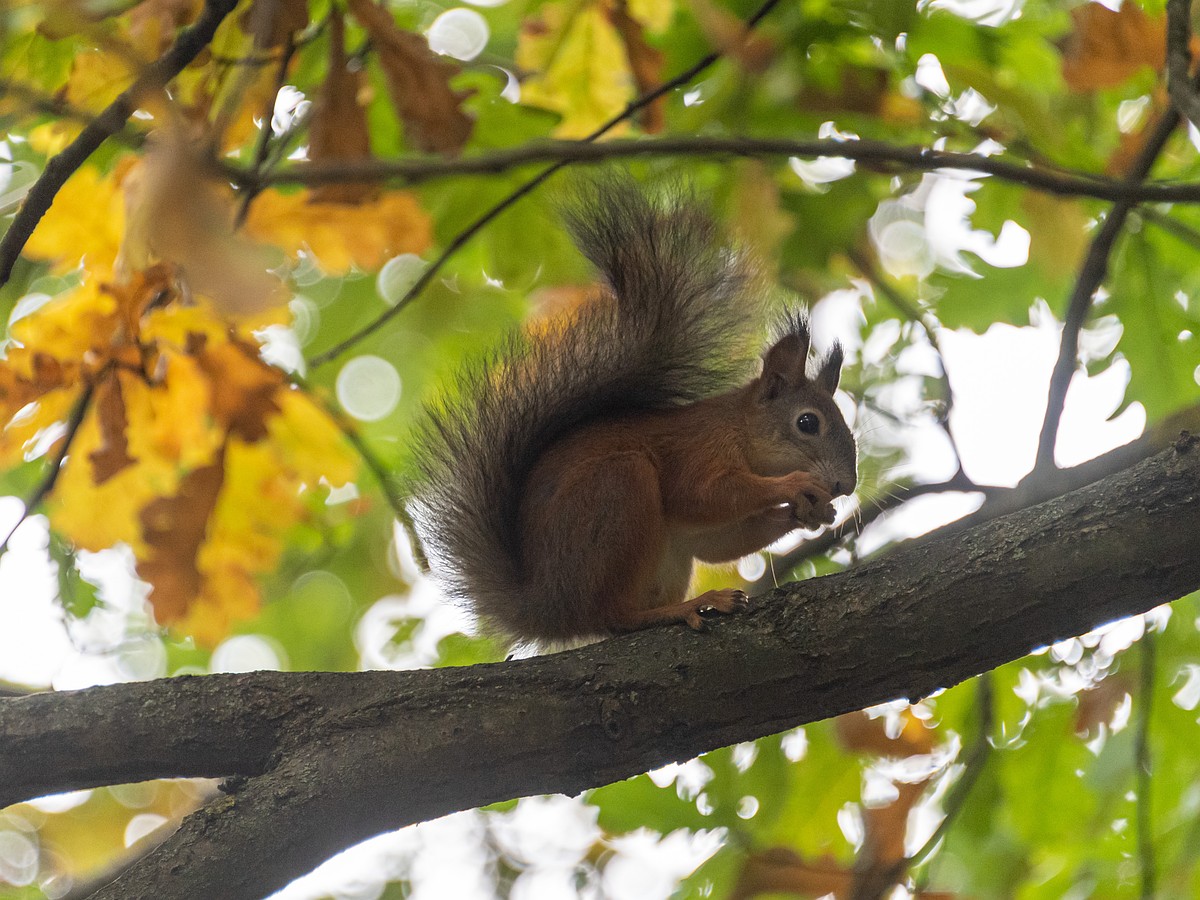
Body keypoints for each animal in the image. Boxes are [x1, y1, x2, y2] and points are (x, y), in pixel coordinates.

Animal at [408, 181, 859, 648]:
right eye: (807, 423)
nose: (845, 485)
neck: (741, 429)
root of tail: (549, 610)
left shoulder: (696, 534)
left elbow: (717, 541)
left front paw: (813, 513)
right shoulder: (698, 449)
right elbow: (704, 494)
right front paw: (796, 485)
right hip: (619, 491)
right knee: (614, 616)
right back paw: (687, 607)